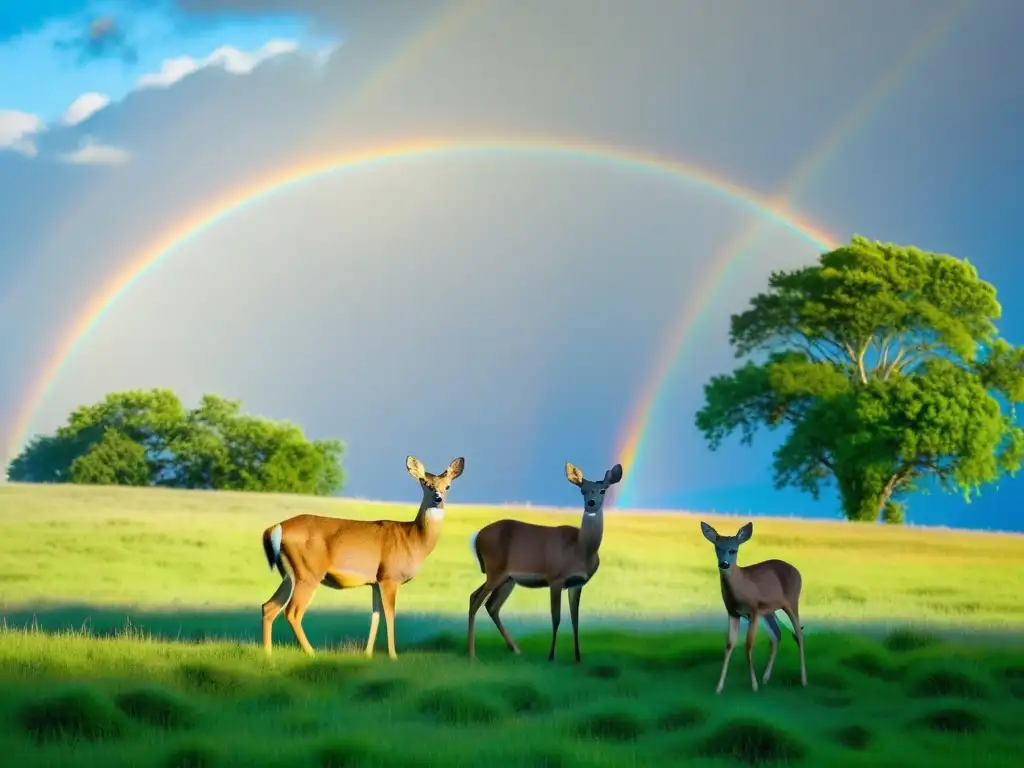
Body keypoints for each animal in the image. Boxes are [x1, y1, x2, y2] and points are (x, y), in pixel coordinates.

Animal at [258, 456, 466, 663]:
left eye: (447, 486)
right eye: (425, 483)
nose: (438, 498)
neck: (412, 539)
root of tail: (277, 527)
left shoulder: (375, 582)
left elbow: (375, 615)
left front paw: (367, 654)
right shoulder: (389, 577)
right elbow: (390, 615)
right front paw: (393, 656)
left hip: (289, 574)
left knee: (268, 607)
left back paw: (268, 654)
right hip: (308, 572)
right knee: (292, 612)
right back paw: (311, 653)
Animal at [466, 462, 622, 667]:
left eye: (603, 490)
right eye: (582, 490)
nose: (591, 503)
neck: (580, 549)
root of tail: (477, 537)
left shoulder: (577, 583)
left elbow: (575, 620)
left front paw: (578, 658)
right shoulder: (555, 578)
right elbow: (556, 618)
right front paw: (551, 656)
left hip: (507, 579)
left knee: (489, 604)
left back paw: (515, 649)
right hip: (495, 570)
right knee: (477, 600)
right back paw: (472, 654)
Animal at [696, 520, 806, 696]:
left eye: (734, 550)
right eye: (717, 548)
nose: (724, 564)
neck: (740, 587)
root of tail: (798, 571)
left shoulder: (753, 610)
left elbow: (748, 645)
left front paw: (753, 686)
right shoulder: (733, 613)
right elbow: (729, 644)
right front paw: (719, 687)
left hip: (791, 601)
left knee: (799, 635)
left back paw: (803, 681)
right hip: (769, 611)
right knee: (777, 635)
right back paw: (766, 678)